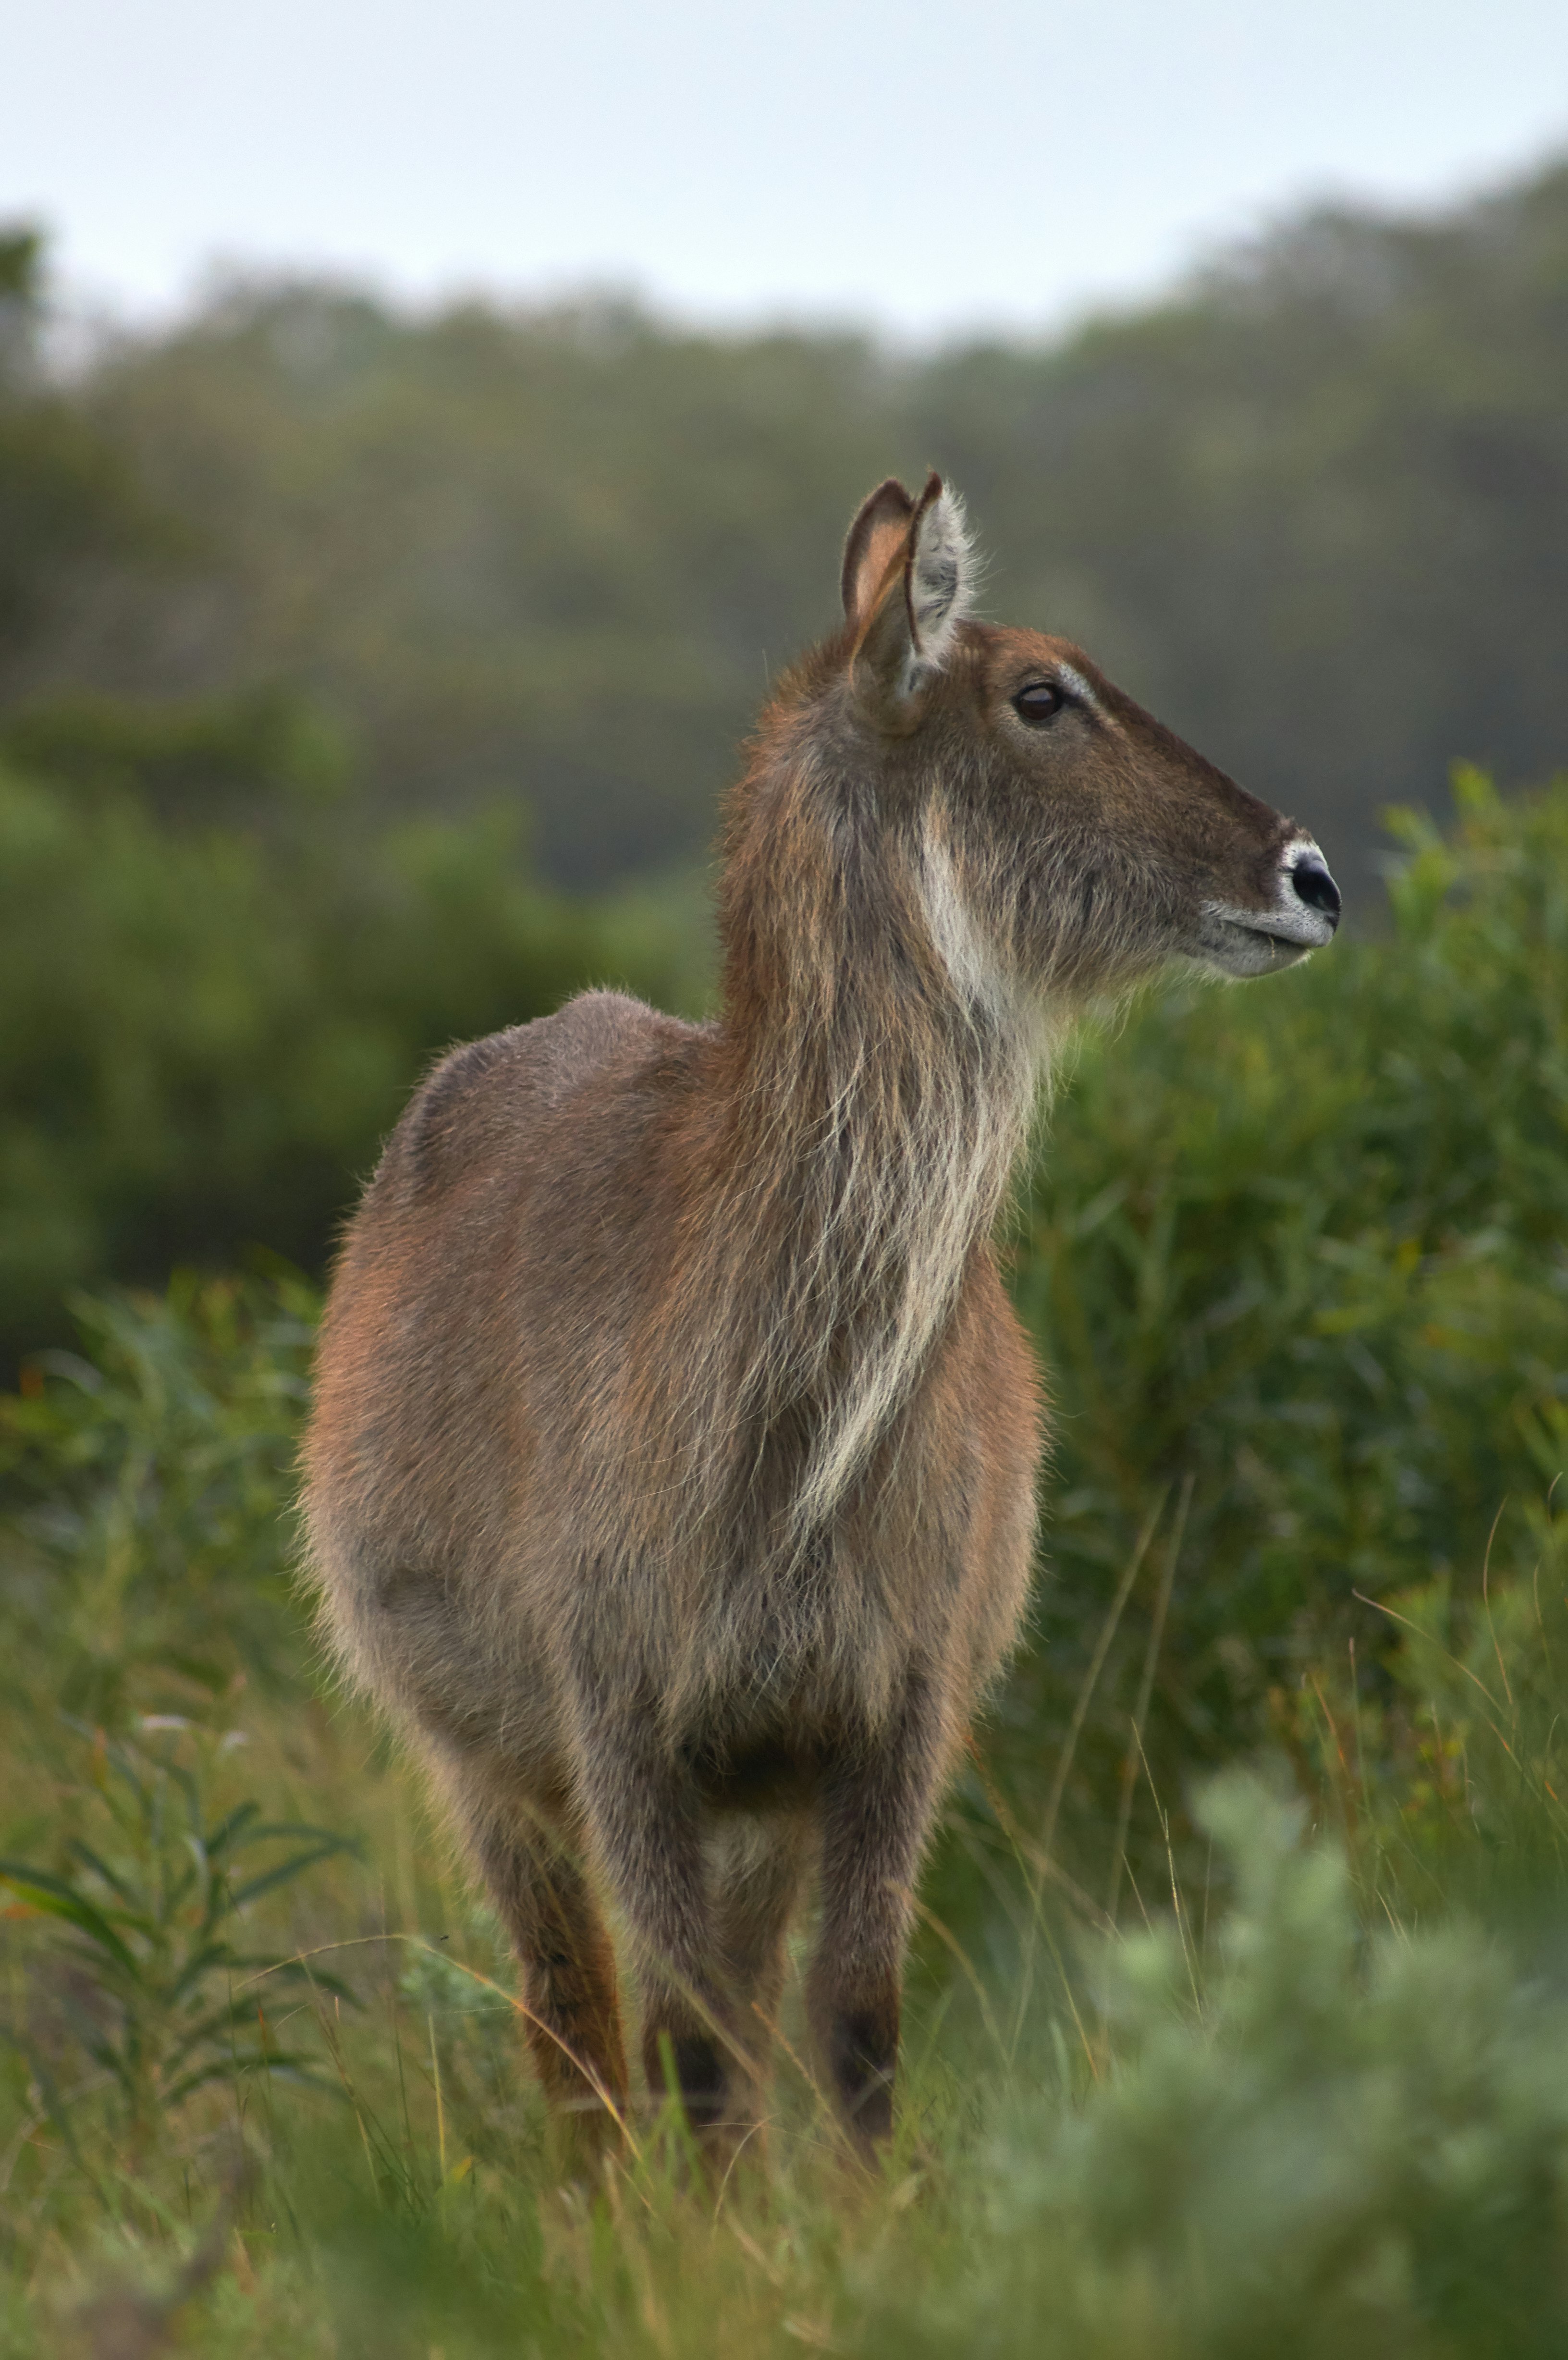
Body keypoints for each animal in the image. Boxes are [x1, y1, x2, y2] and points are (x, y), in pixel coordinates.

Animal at [300, 479, 1341, 2171]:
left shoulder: (883, 1714)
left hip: (754, 1803)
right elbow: (677, 2050)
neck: (781, 1450)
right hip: (484, 1762)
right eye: (1039, 692)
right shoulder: (621, 1718)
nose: (1308, 874)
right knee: (574, 2034)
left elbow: (851, 2032)